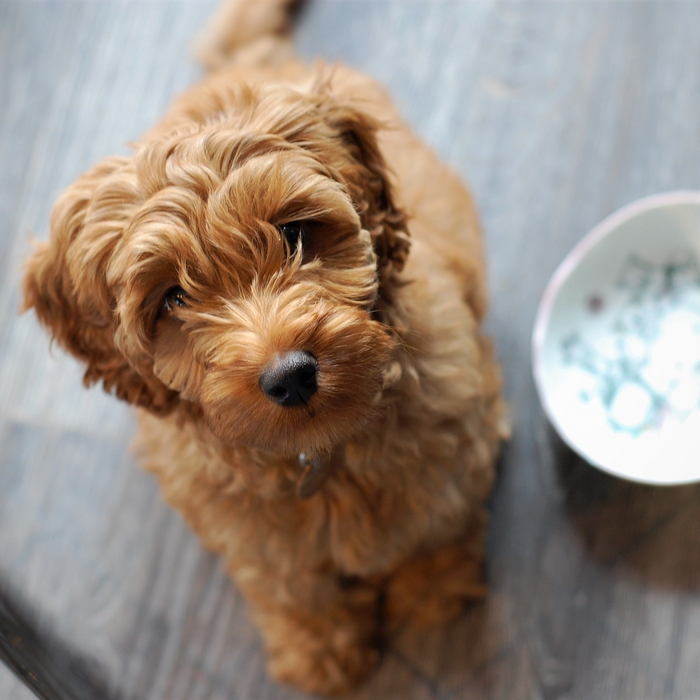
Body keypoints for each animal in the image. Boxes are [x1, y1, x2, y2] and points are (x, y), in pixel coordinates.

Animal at [20, 1, 504, 696]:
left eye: (294, 233)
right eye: (172, 298)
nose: (291, 376)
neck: (320, 456)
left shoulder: (451, 438)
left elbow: (435, 518)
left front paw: (431, 587)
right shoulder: (241, 526)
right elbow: (289, 580)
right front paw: (320, 648)